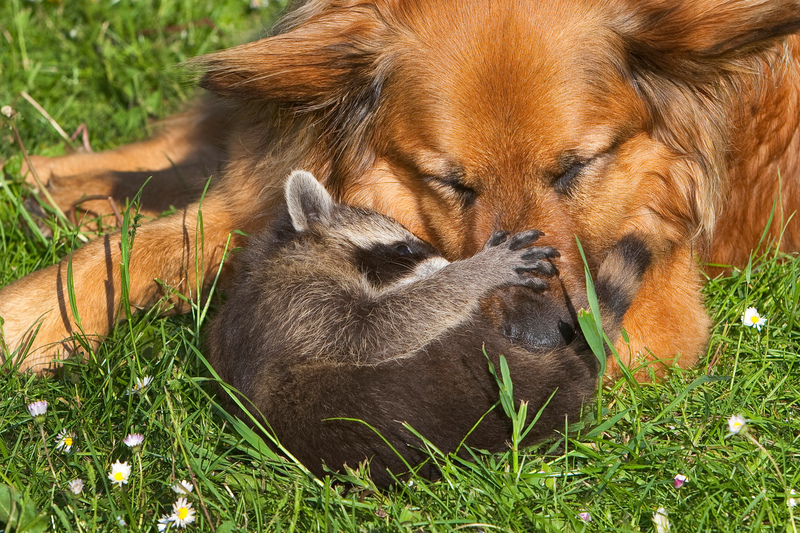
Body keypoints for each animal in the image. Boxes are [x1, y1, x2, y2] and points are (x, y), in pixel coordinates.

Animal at [1, 0, 800, 378]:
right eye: (448, 180)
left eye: (575, 168)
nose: (541, 338)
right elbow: (126, 251)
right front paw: (28, 323)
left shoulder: (658, 308)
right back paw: (49, 178)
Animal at [208, 170, 648, 486]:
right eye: (405, 248)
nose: (449, 260)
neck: (285, 252)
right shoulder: (302, 304)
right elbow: (373, 330)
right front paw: (478, 271)